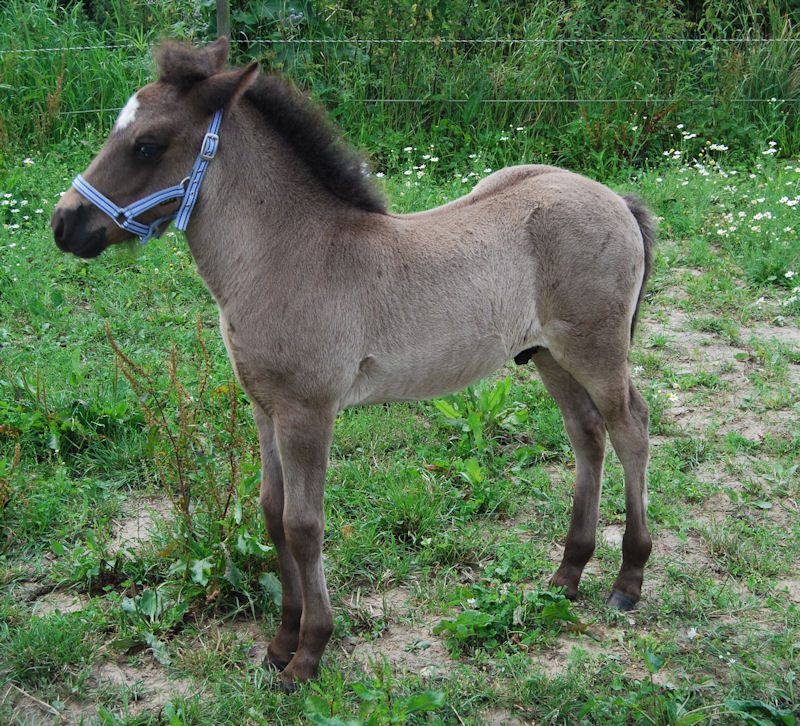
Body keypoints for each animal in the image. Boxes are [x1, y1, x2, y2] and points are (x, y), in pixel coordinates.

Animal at [54, 38, 656, 688]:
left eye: (147, 144)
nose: (64, 223)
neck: (289, 253)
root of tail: (618, 200)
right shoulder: (266, 408)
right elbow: (272, 514)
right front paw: (280, 642)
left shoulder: (308, 411)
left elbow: (304, 525)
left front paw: (309, 654)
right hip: (547, 355)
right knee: (587, 434)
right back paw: (567, 575)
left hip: (597, 350)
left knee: (630, 428)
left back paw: (628, 580)